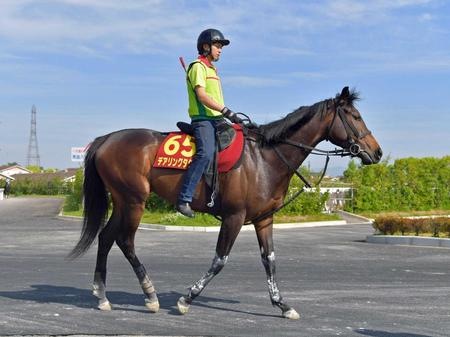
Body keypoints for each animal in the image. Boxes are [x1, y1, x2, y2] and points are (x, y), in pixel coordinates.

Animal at [68, 86, 382, 318]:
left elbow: (269, 261)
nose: (377, 152)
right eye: (354, 116)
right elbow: (220, 259)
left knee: (106, 237)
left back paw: (102, 295)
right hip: (135, 200)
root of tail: (107, 139)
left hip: (122, 201)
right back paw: (150, 294)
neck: (264, 158)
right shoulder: (234, 216)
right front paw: (186, 299)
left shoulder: (264, 219)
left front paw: (283, 304)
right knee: (125, 241)